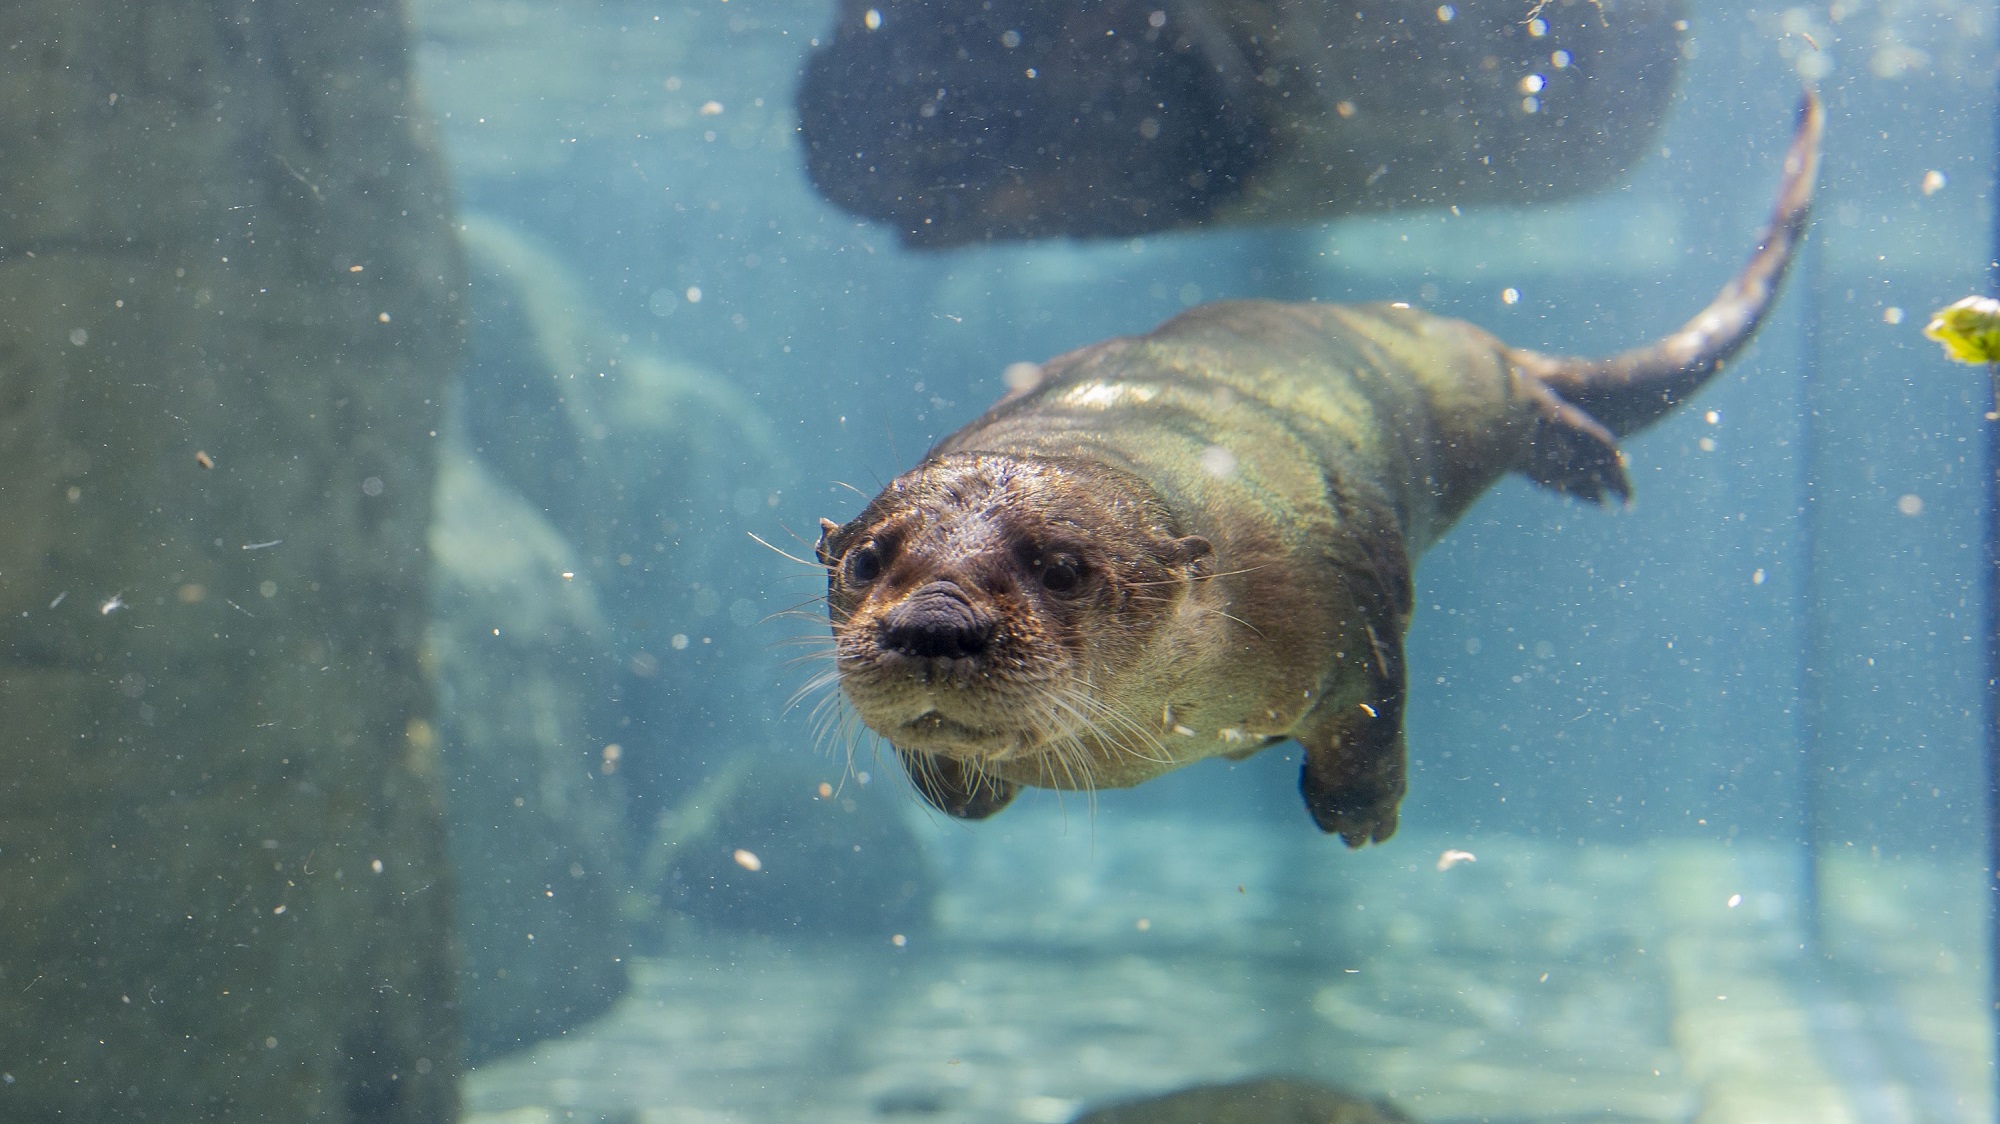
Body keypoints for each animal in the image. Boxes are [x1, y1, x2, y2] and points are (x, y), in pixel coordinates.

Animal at [815, 96, 1821, 845]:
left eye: (1062, 568)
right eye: (865, 561)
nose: (934, 623)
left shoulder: (1348, 595)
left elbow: (1380, 706)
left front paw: (1360, 811)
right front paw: (964, 790)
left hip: (1460, 380)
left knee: (1518, 387)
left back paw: (1586, 454)